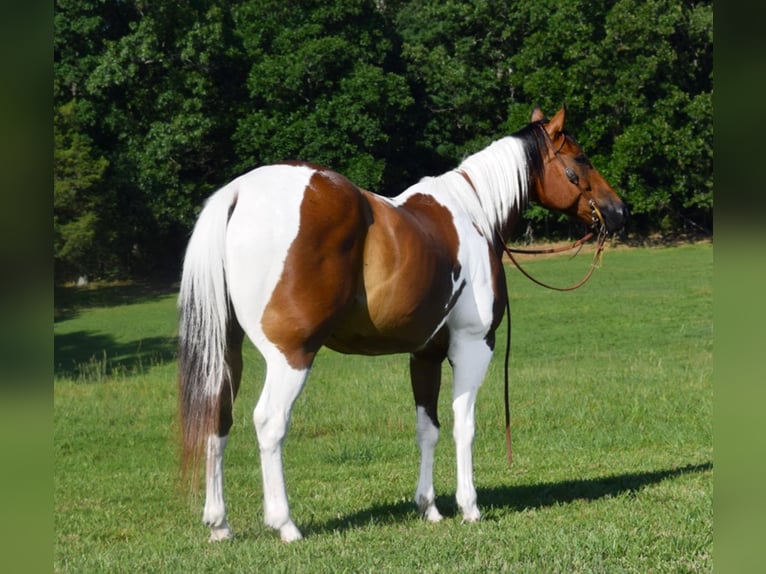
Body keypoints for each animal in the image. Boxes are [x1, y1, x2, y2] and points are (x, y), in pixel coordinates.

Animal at [178, 106, 632, 544]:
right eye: (581, 159)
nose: (619, 211)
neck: (475, 215)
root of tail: (240, 192)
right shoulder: (473, 346)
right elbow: (464, 426)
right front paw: (469, 506)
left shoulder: (425, 354)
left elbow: (427, 429)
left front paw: (428, 507)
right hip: (291, 355)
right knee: (270, 423)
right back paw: (285, 524)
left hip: (226, 351)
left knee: (217, 418)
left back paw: (219, 524)